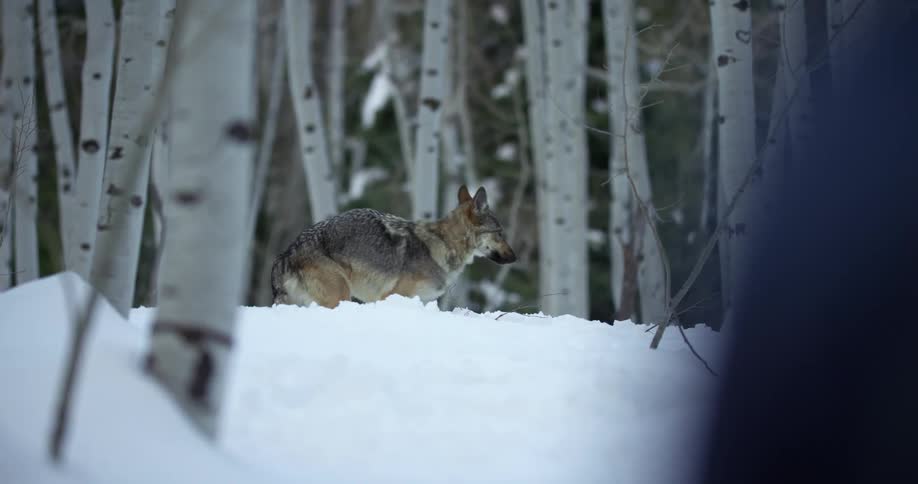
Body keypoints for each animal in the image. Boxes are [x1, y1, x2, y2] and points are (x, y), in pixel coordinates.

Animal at [271, 185, 516, 308]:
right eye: (500, 233)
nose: (515, 257)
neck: (443, 243)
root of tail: (287, 253)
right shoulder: (392, 297)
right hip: (340, 297)